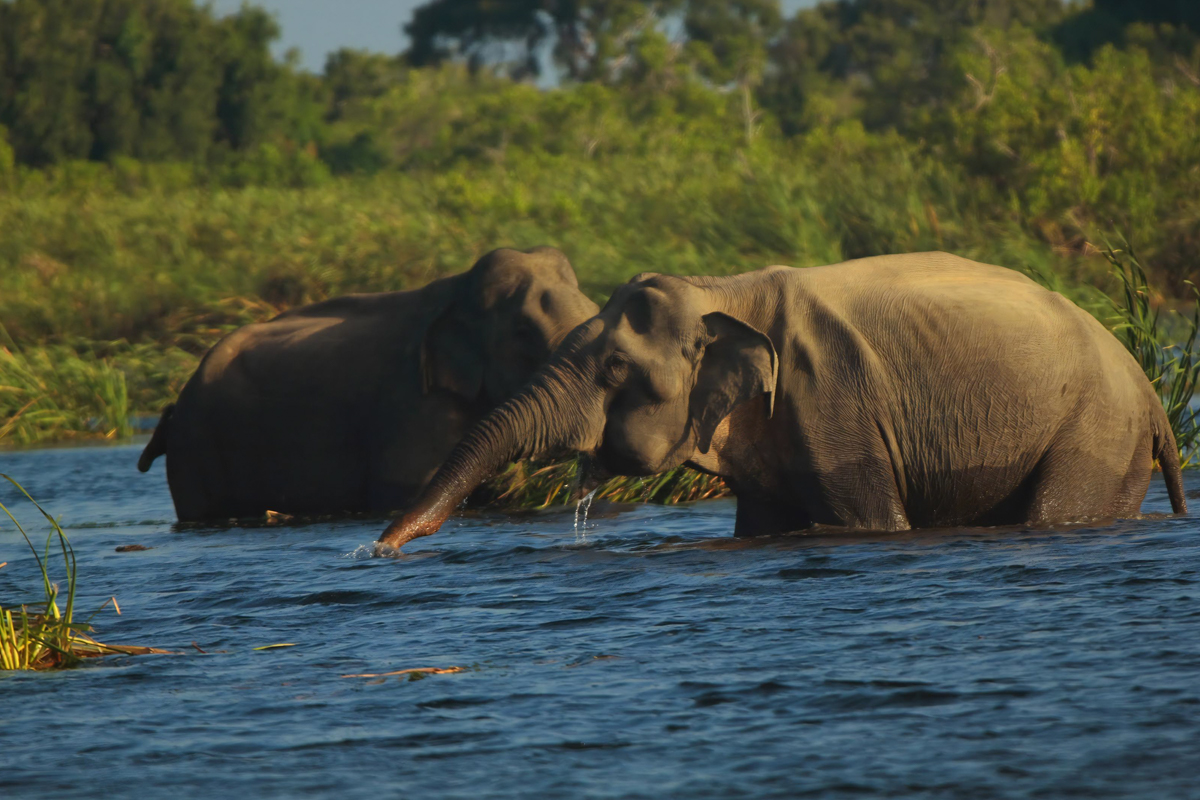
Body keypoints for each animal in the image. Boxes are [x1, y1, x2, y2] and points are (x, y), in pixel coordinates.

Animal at [379, 251, 1185, 551]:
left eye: (614, 367)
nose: (383, 547)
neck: (722, 290)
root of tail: (1152, 394)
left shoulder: (834, 401)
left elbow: (871, 520)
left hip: (1095, 432)